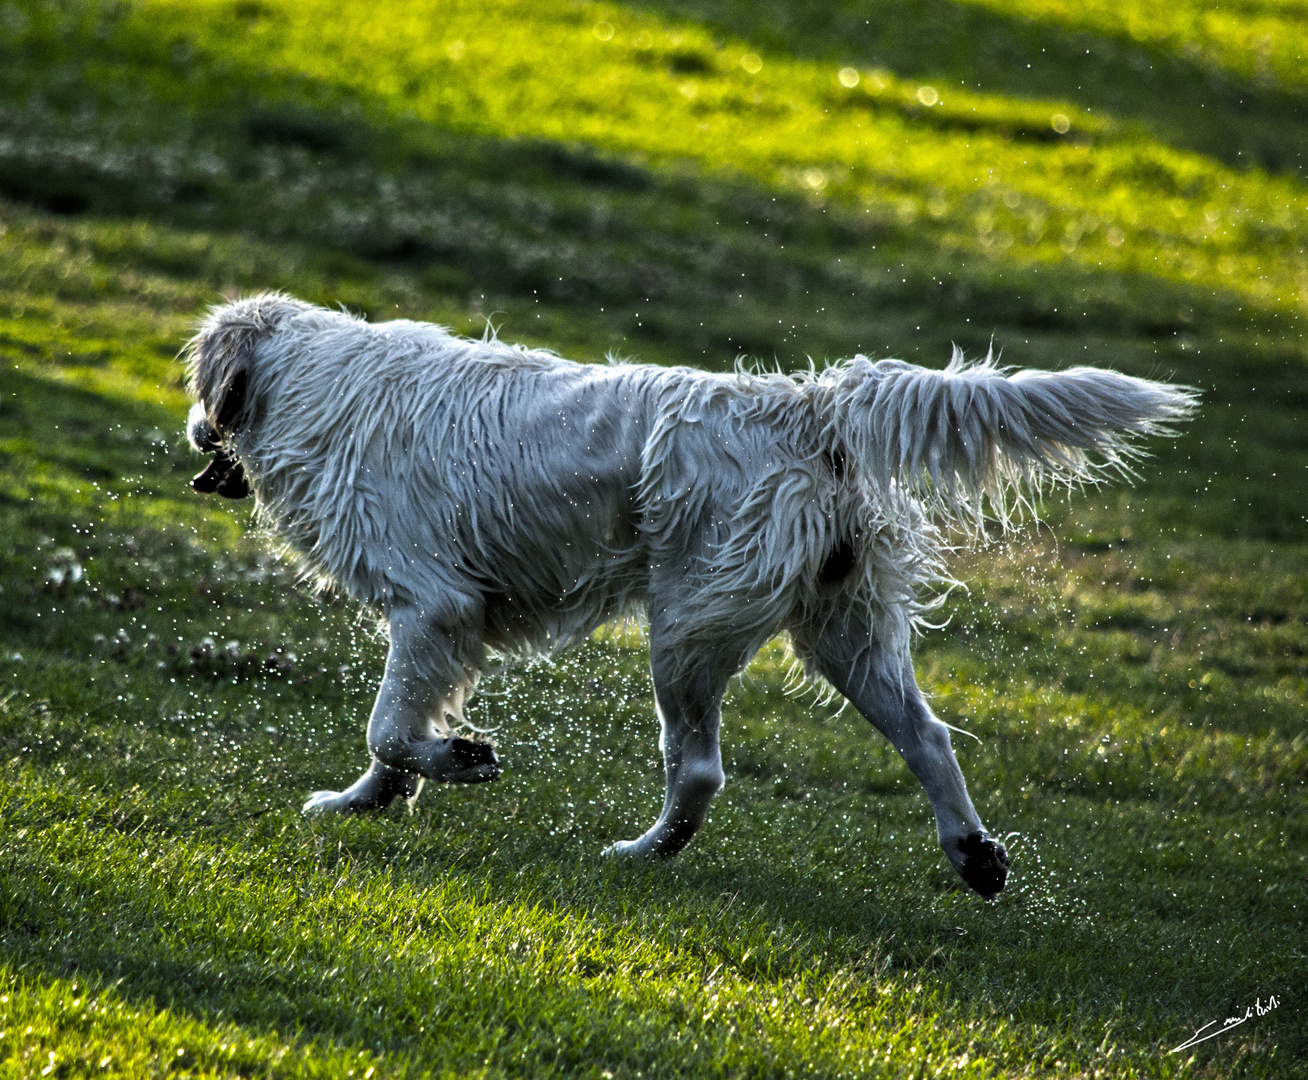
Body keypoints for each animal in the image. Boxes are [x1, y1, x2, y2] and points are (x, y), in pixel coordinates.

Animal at [184, 292, 1198, 894]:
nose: (193, 429)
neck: (314, 382)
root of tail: (807, 404)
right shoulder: (440, 624)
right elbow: (392, 741)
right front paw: (362, 803)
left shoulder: (433, 606)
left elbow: (390, 728)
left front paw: (461, 760)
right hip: (845, 631)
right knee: (929, 737)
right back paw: (974, 856)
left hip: (684, 630)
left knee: (701, 768)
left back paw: (643, 854)